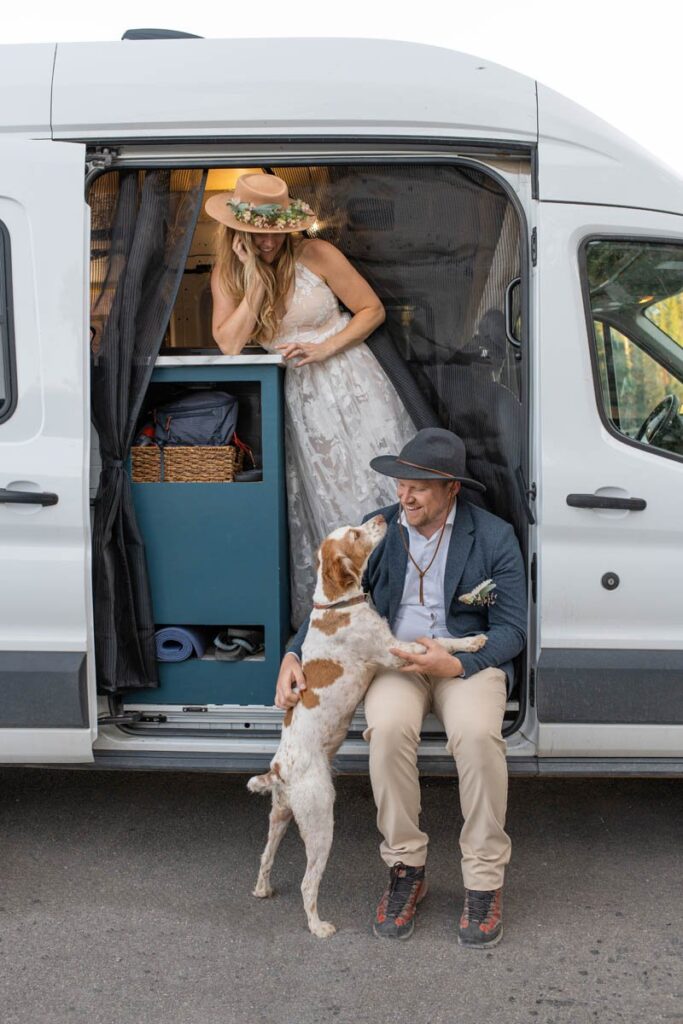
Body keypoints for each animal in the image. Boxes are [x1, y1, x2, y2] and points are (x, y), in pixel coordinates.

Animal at [245, 516, 485, 937]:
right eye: (355, 535)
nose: (381, 518)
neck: (338, 604)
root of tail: (279, 769)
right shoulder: (396, 652)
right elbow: (442, 642)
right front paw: (471, 641)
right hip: (320, 820)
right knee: (308, 882)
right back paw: (318, 926)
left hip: (280, 816)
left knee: (265, 856)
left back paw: (263, 889)